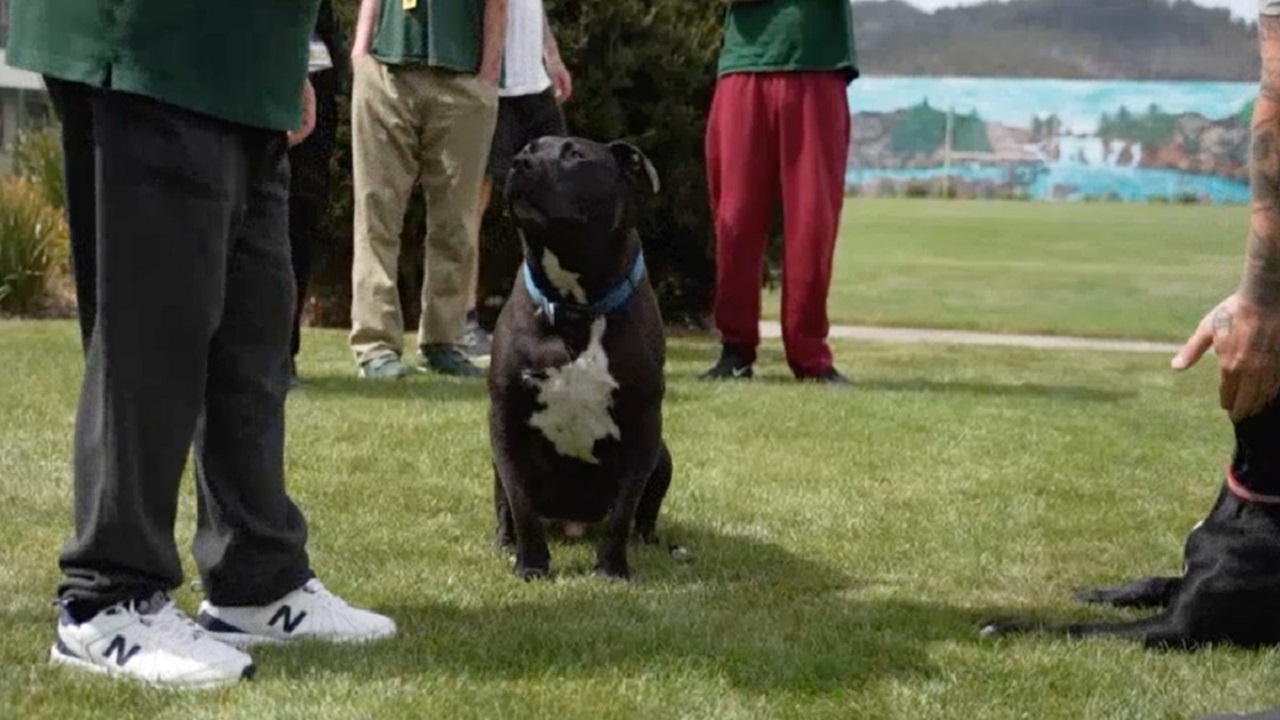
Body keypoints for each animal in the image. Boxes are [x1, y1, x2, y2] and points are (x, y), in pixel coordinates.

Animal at [483, 134, 675, 579]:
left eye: (575, 155)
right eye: (528, 148)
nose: (519, 163)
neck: (575, 305)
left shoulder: (644, 425)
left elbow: (625, 508)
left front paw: (612, 568)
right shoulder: (505, 419)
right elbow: (520, 503)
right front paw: (531, 564)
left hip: (664, 456)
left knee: (645, 511)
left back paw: (650, 541)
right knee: (505, 503)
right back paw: (504, 542)